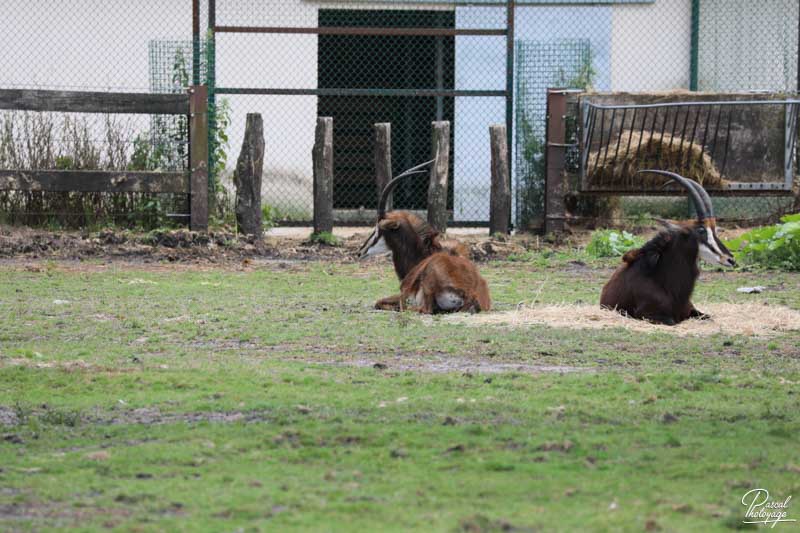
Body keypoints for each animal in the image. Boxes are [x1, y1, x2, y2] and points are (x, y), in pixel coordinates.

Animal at [360, 161, 490, 312]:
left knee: (423, 309)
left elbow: (379, 302)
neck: (423, 255)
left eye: (378, 229)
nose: (360, 251)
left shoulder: (405, 293)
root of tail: (471, 294)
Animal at [600, 170, 736, 324]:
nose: (730, 259)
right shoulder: (647, 314)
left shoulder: (692, 310)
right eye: (701, 230)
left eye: (714, 230)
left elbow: (708, 317)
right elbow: (671, 321)